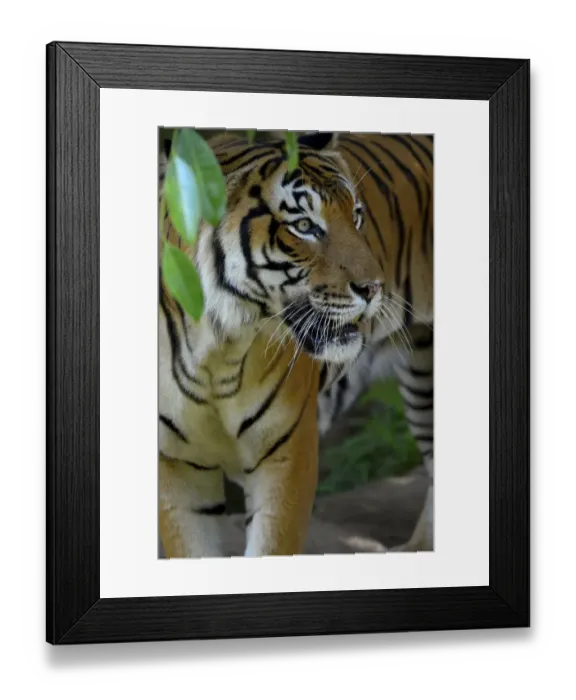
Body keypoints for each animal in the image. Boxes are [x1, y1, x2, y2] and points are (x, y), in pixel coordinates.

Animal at [158, 130, 433, 558]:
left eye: (356, 216)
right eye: (304, 225)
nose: (374, 288)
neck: (216, 352)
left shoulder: (286, 459)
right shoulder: (175, 469)